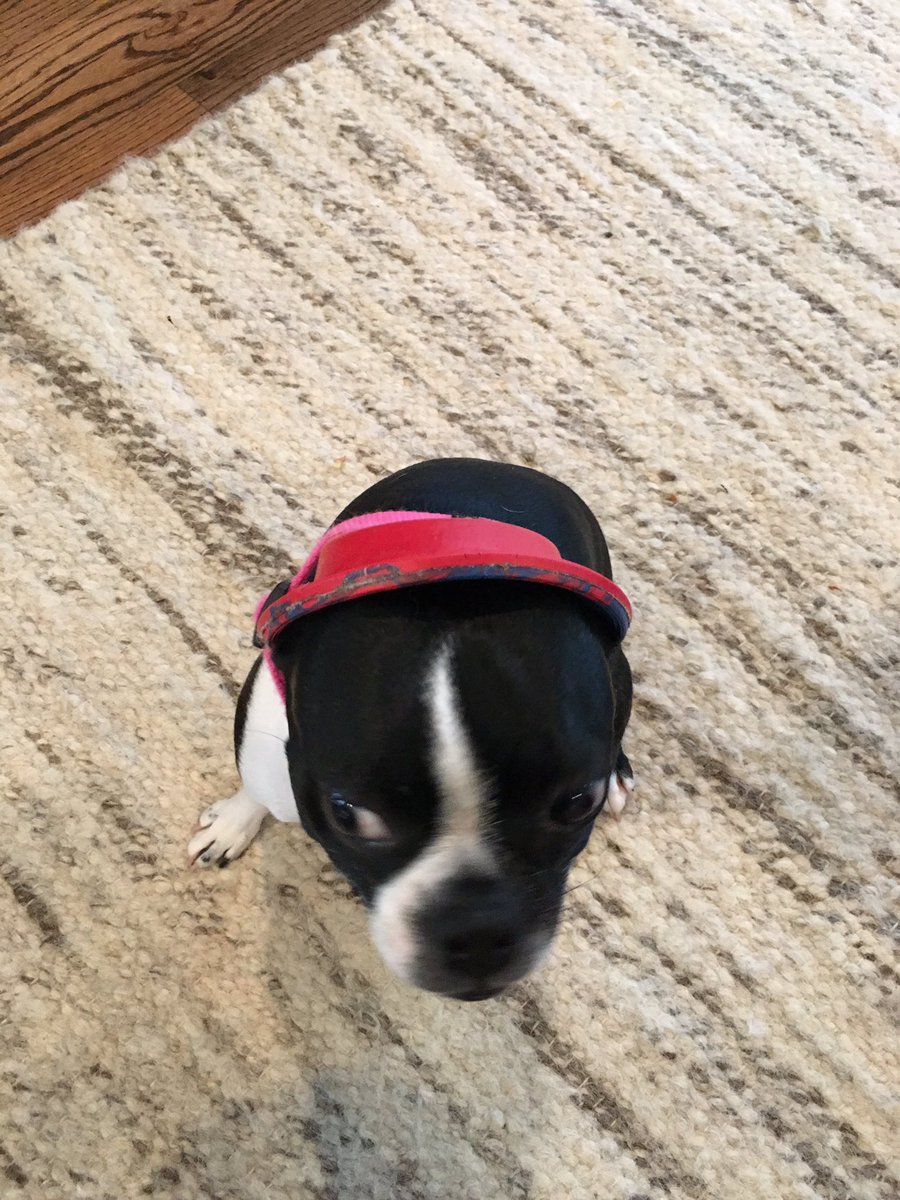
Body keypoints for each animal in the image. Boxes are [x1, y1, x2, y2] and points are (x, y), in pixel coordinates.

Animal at [189, 458, 633, 1001]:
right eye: (347, 815)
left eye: (579, 803)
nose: (477, 928)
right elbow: (257, 789)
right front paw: (233, 822)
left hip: (619, 668)